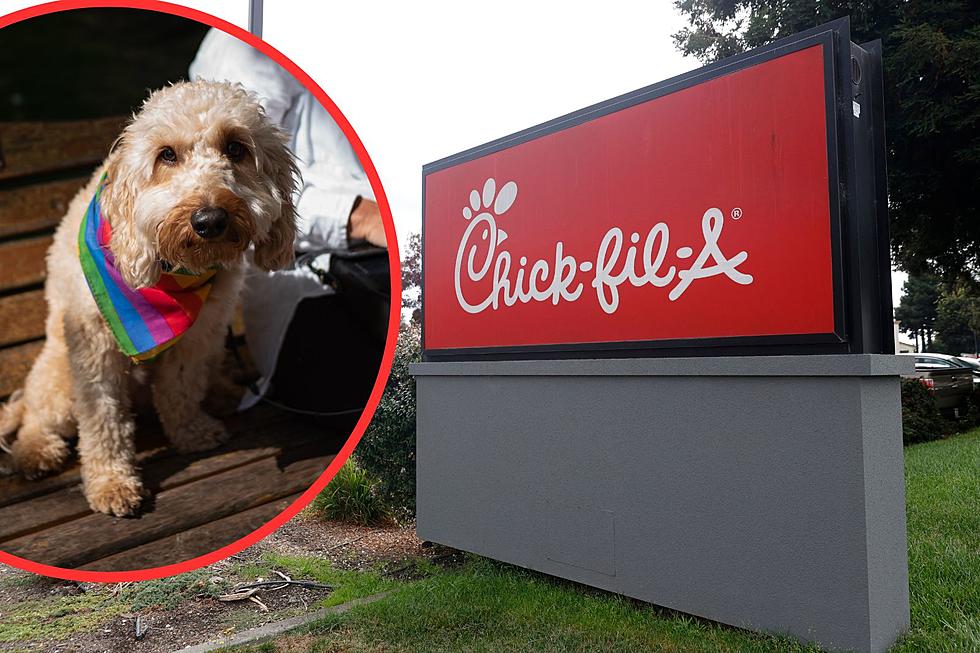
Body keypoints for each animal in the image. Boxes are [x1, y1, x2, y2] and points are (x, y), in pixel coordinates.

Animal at [0, 80, 294, 516]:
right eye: (166, 154)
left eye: (236, 148)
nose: (210, 220)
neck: (175, 270)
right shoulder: (94, 350)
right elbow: (103, 420)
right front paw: (111, 482)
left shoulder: (200, 335)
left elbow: (179, 388)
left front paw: (190, 432)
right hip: (59, 379)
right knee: (35, 415)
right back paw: (35, 452)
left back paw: (221, 392)